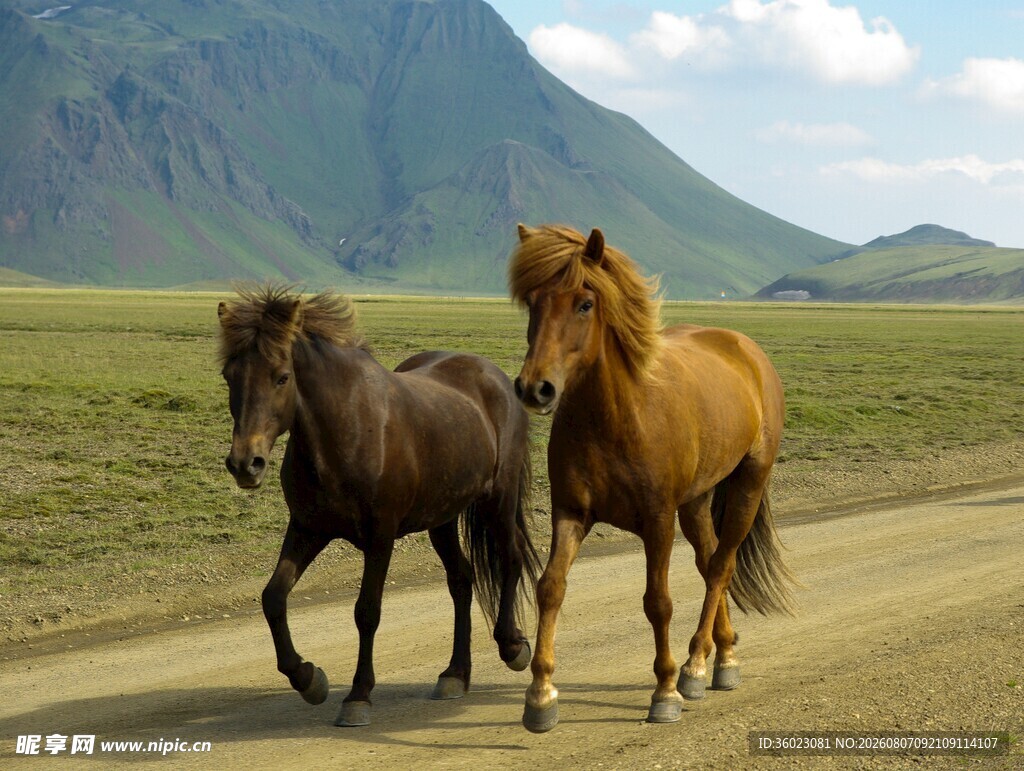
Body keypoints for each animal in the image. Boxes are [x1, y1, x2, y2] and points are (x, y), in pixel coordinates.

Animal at [217, 285, 540, 727]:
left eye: (282, 376)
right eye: (228, 376)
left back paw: (512, 647)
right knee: (461, 579)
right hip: (442, 517)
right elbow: (273, 598)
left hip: (499, 501)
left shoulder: (380, 537)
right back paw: (455, 674)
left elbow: (366, 611)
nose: (245, 464)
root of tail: (494, 377)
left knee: (509, 559)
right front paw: (307, 678)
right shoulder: (307, 528)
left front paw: (358, 696)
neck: (344, 431)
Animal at [508, 224, 795, 732]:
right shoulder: (571, 513)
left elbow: (657, 601)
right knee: (708, 561)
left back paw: (696, 665)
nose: (534, 388)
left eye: (584, 303)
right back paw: (724, 656)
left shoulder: (658, 520)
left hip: (748, 483)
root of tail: (746, 349)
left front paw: (665, 689)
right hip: (696, 501)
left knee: (721, 566)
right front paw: (541, 694)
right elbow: (550, 588)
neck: (615, 416)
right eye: (533, 302)